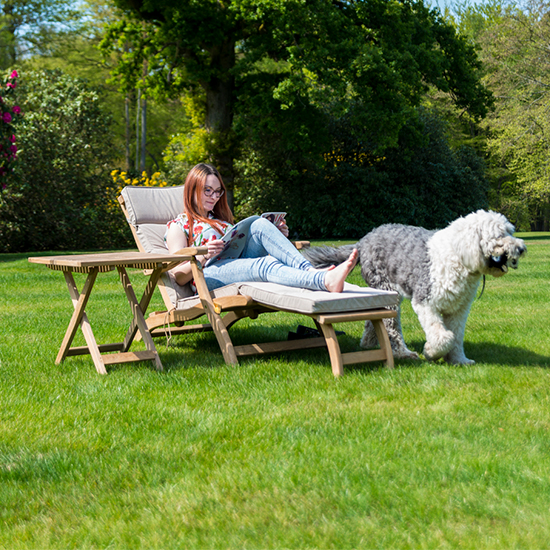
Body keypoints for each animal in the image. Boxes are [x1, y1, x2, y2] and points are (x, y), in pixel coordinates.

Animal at [304, 211, 528, 366]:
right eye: (499, 235)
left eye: (511, 231)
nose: (521, 248)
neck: (458, 256)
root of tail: (363, 240)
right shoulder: (425, 302)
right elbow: (444, 337)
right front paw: (431, 352)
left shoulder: (459, 309)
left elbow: (456, 336)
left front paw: (459, 360)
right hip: (389, 292)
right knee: (391, 327)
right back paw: (403, 353)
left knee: (373, 321)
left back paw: (368, 343)